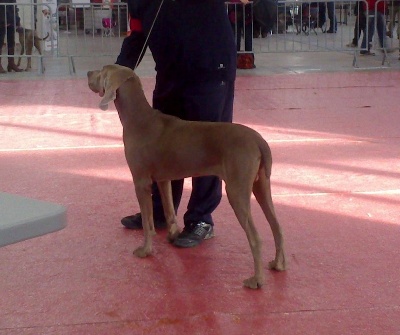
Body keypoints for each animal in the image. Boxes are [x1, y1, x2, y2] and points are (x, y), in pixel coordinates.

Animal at [88, 65, 288, 288]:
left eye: (101, 71)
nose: (87, 73)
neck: (140, 119)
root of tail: (259, 140)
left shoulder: (141, 182)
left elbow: (148, 222)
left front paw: (145, 250)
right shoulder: (163, 179)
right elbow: (169, 210)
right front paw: (173, 235)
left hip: (237, 190)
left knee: (255, 237)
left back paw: (256, 280)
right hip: (261, 186)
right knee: (277, 226)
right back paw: (278, 264)